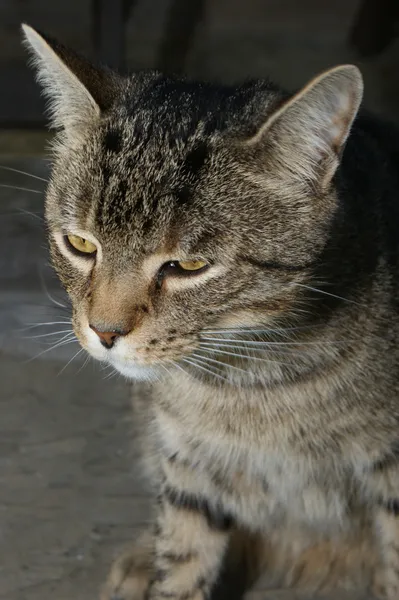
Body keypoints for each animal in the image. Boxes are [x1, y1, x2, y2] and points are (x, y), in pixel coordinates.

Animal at [22, 22, 399, 600]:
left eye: (189, 265)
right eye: (81, 244)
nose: (104, 332)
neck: (250, 381)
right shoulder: (188, 462)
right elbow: (182, 556)